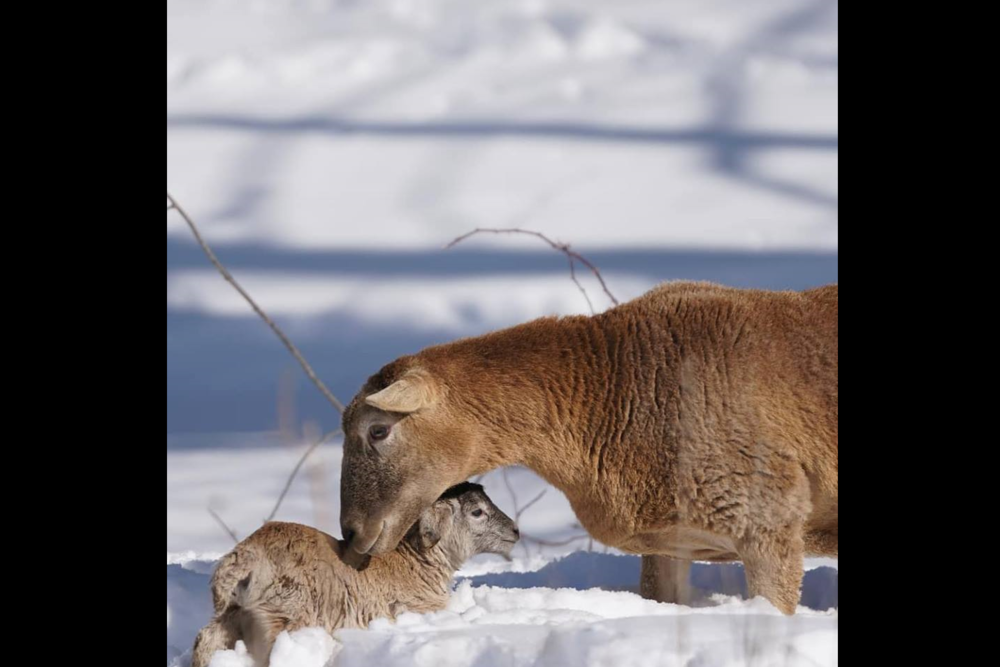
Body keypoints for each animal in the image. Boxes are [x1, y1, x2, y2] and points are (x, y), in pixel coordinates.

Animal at [189, 482, 516, 667]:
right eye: (477, 512)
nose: (515, 530)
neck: (414, 560)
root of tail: (248, 554)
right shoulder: (419, 609)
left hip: (232, 612)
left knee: (206, 640)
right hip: (285, 611)